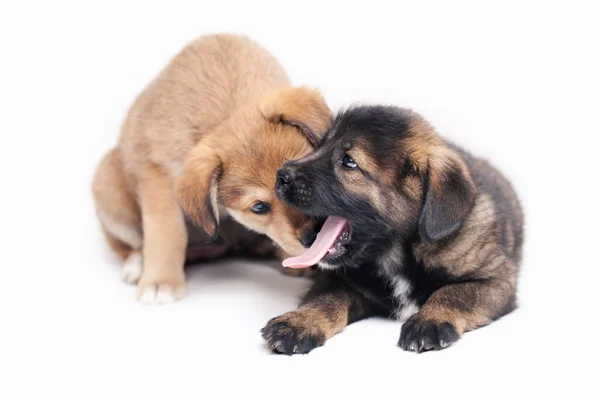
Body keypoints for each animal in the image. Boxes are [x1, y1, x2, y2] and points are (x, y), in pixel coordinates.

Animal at [91, 34, 330, 304]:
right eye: (259, 207)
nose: (314, 236)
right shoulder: (159, 178)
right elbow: (166, 234)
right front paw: (161, 281)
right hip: (108, 184)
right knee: (128, 244)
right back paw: (138, 264)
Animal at [260, 105, 524, 354]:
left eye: (348, 161)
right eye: (321, 145)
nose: (280, 175)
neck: (394, 255)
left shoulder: (496, 280)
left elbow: (455, 293)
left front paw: (429, 321)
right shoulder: (340, 279)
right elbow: (326, 299)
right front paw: (299, 322)